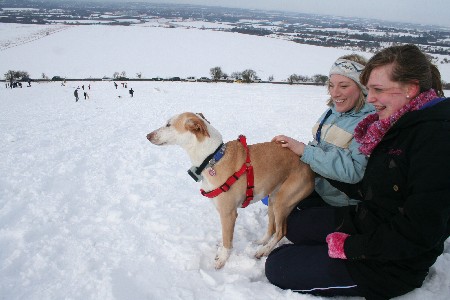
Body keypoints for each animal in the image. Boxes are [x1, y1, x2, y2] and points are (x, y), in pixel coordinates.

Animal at [147, 112, 312, 270]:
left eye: (168, 124)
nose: (148, 135)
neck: (212, 159)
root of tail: (310, 168)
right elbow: (225, 236)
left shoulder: (228, 213)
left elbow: (227, 241)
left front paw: (222, 259)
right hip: (272, 198)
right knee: (272, 228)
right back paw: (261, 242)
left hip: (282, 202)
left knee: (281, 231)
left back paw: (264, 251)